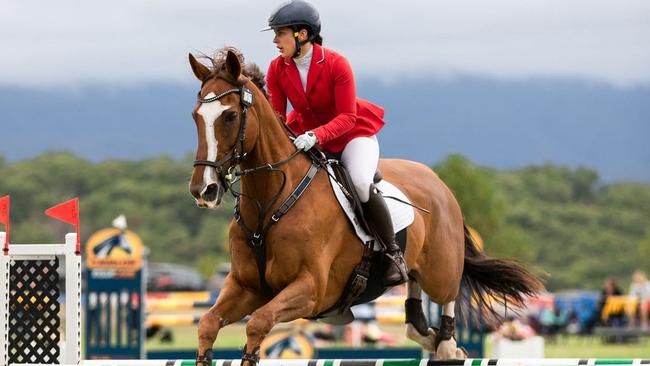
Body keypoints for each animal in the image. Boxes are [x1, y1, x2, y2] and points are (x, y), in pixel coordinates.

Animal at [187, 49, 540, 364]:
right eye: (195, 117)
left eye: (230, 116)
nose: (204, 189)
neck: (269, 205)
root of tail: (439, 182)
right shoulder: (246, 286)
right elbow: (208, 324)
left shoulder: (309, 289)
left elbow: (258, 323)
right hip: (414, 268)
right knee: (414, 319)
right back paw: (429, 334)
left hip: (441, 271)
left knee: (448, 302)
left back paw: (447, 346)